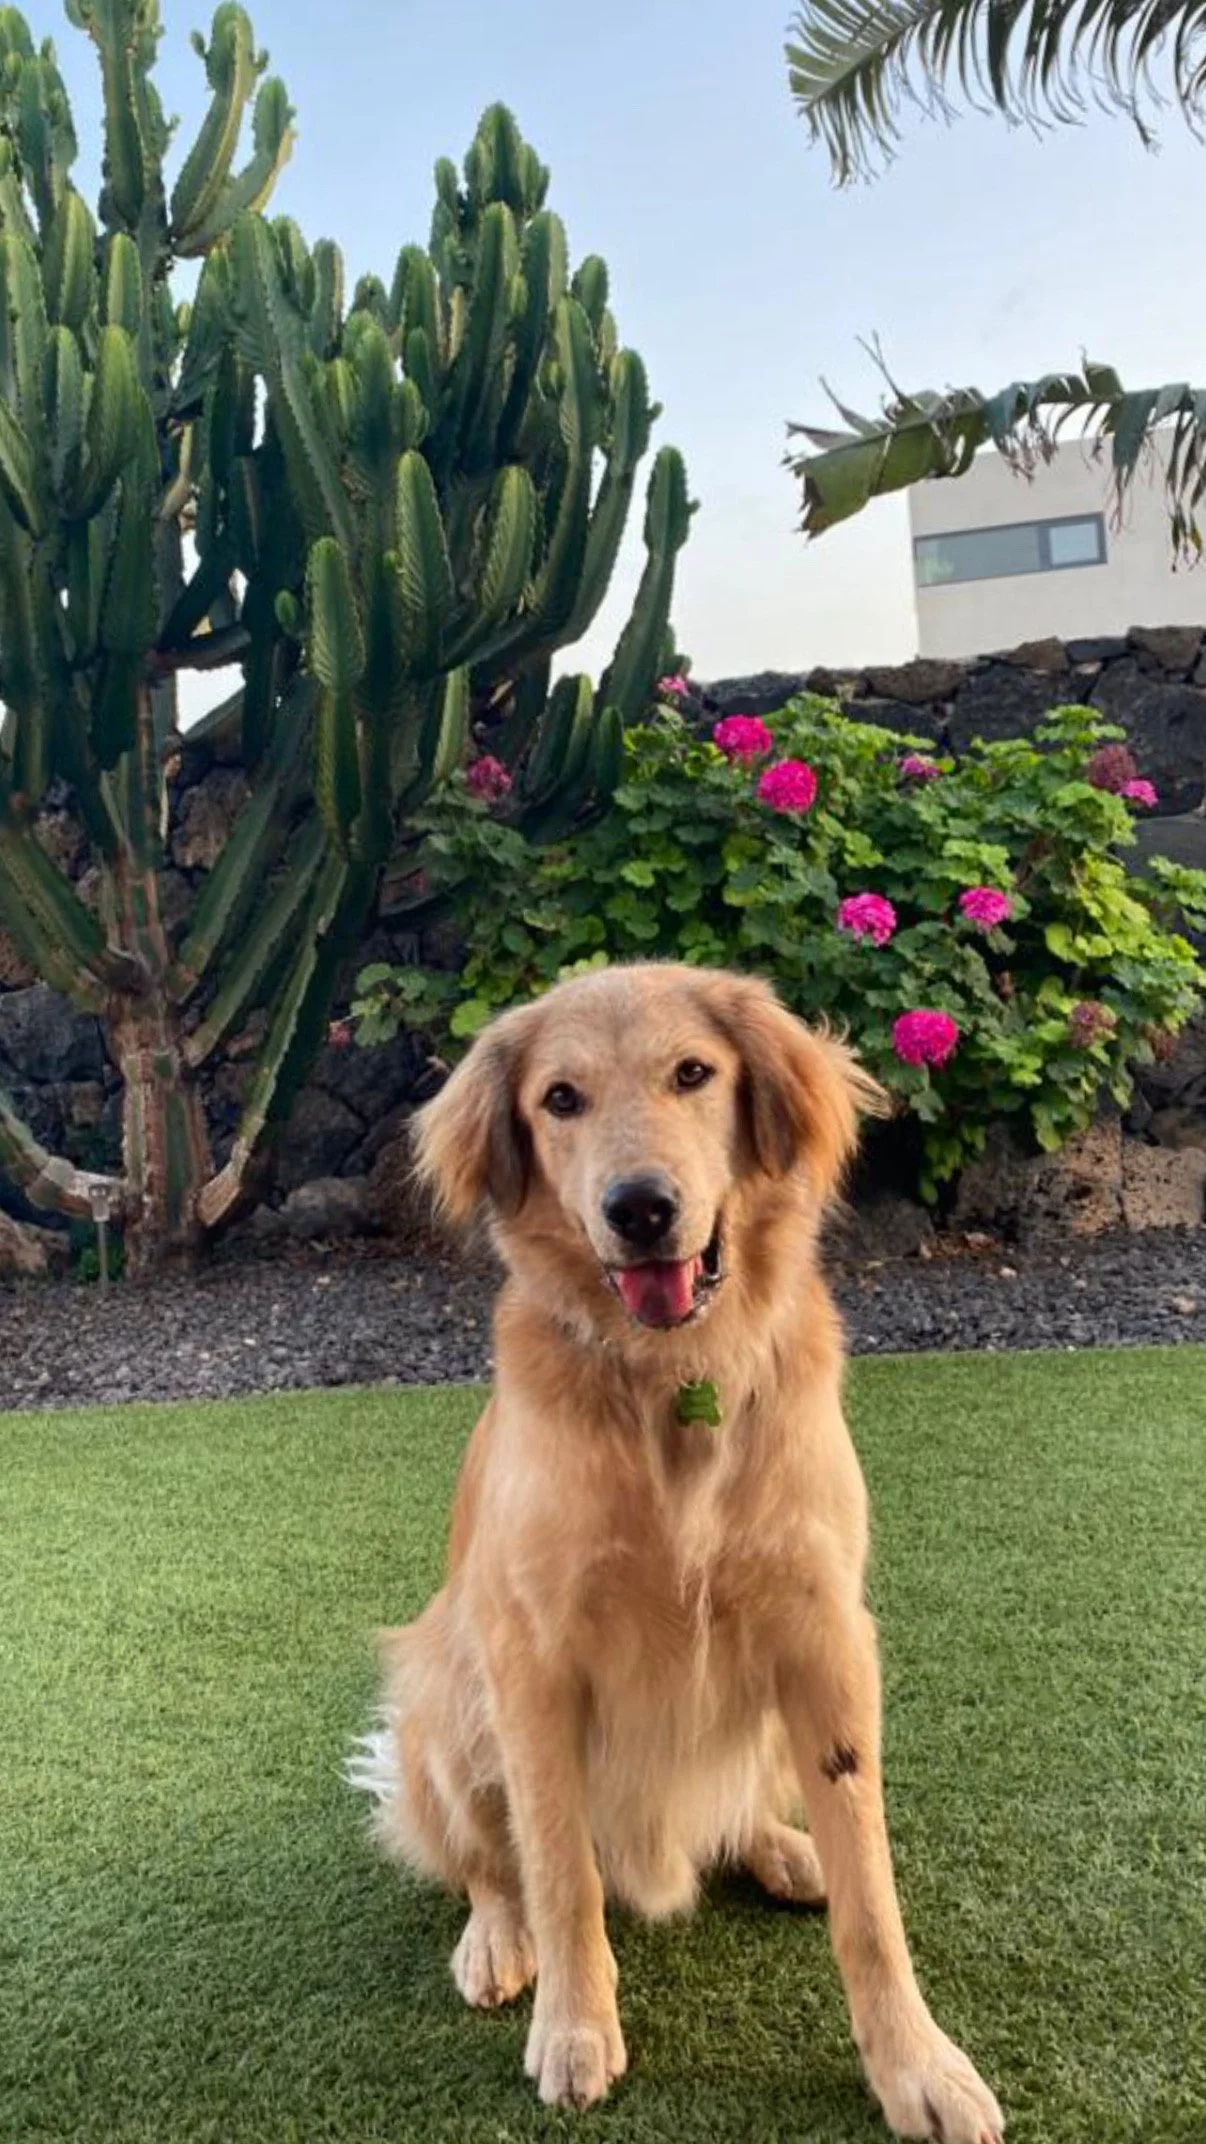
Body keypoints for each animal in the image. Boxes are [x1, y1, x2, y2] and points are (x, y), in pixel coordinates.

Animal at [349, 962, 1003, 2143]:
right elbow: (559, 1871)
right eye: (559, 1099)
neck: (676, 1381)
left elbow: (871, 1893)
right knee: (489, 1864)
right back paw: (496, 1937)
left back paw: (784, 1846)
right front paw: (574, 2029)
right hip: (447, 1698)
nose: (640, 1208)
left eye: (694, 1073)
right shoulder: (534, 1660)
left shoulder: (827, 1635)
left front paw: (916, 2064)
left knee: (752, 1814)